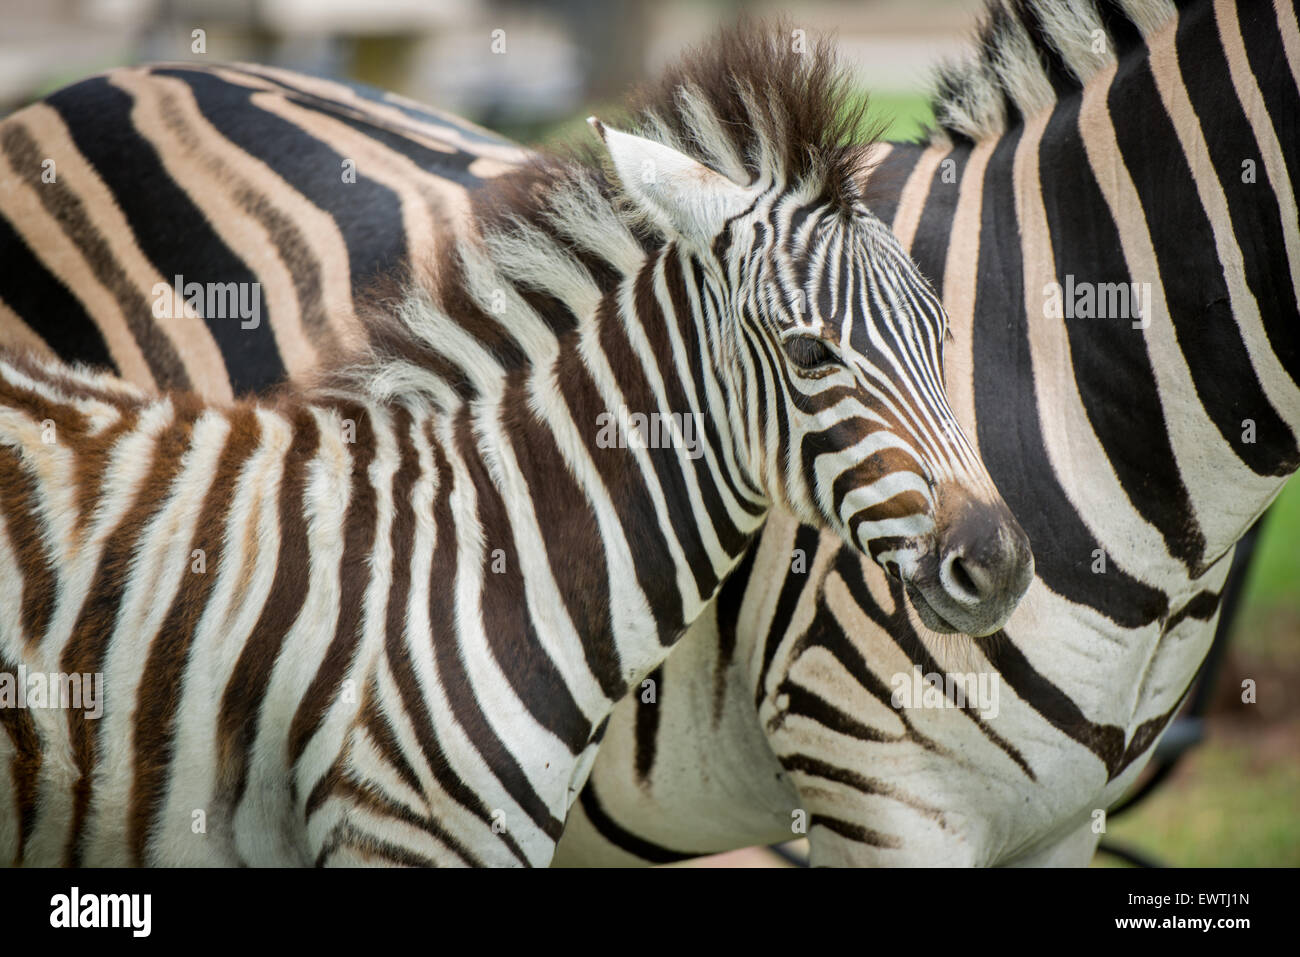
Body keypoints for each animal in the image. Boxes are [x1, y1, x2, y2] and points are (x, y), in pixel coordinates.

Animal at [2, 0, 1289, 868]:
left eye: (945, 327)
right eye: (808, 355)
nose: (997, 563)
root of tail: (84, 91)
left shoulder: (1061, 820)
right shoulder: (884, 794)